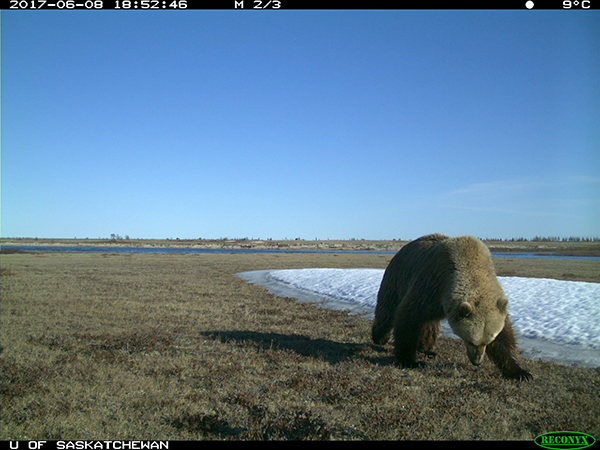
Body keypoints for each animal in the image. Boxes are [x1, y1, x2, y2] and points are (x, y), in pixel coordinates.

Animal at [372, 236, 532, 380]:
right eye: (471, 341)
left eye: (488, 340)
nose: (477, 362)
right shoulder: (431, 285)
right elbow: (409, 316)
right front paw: (409, 360)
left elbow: (505, 338)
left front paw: (520, 372)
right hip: (397, 277)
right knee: (387, 308)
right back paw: (380, 337)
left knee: (430, 325)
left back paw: (427, 349)